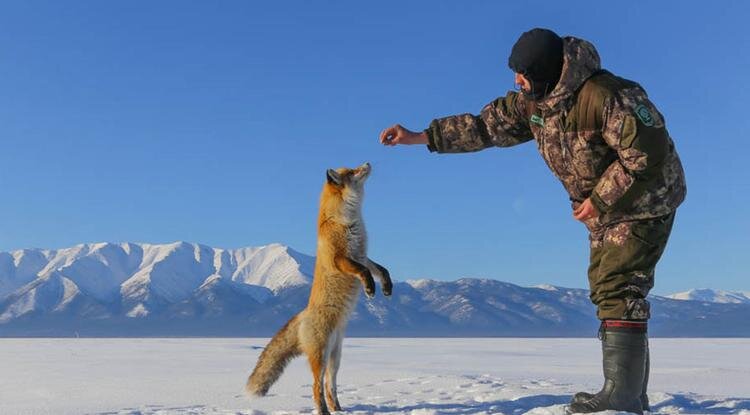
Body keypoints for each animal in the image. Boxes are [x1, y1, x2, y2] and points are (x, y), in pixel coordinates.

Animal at [250, 162, 396, 415]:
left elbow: (381, 269)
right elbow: (365, 273)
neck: (346, 220)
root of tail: (302, 315)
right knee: (315, 386)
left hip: (335, 357)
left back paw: (337, 408)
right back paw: (324, 411)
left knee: (330, 384)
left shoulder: (362, 256)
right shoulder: (340, 258)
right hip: (321, 355)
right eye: (352, 171)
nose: (368, 163)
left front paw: (386, 287)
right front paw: (370, 289)